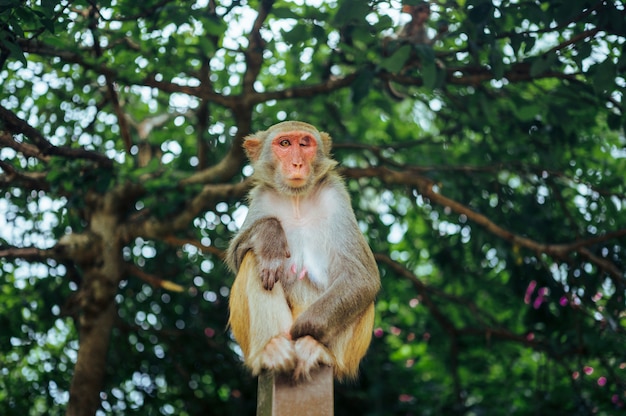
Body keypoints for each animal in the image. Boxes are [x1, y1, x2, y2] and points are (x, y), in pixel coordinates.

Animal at [225, 120, 378, 380]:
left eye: (305, 144)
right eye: (285, 143)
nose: (297, 163)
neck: (296, 200)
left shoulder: (336, 196)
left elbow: (362, 277)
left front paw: (302, 332)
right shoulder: (262, 198)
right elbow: (237, 255)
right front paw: (270, 237)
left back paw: (315, 349)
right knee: (254, 259)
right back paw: (273, 350)